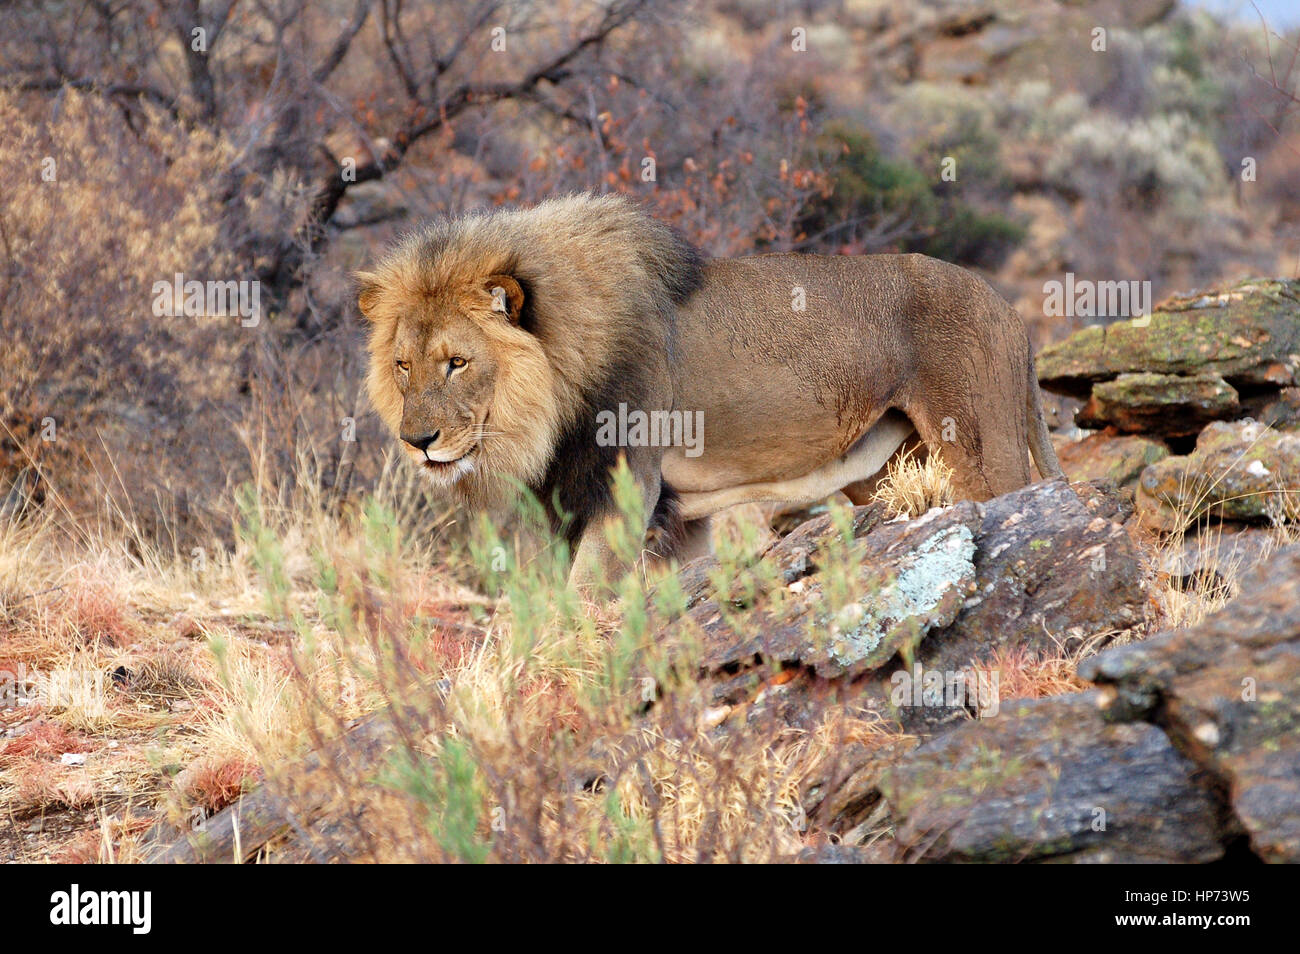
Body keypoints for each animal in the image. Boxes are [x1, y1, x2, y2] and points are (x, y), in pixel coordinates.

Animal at [353, 194, 1055, 590]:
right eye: (402, 366)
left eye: (456, 363)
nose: (417, 441)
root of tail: (1007, 308)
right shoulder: (662, 517)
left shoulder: (625, 493)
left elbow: (579, 601)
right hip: (885, 468)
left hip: (981, 450)